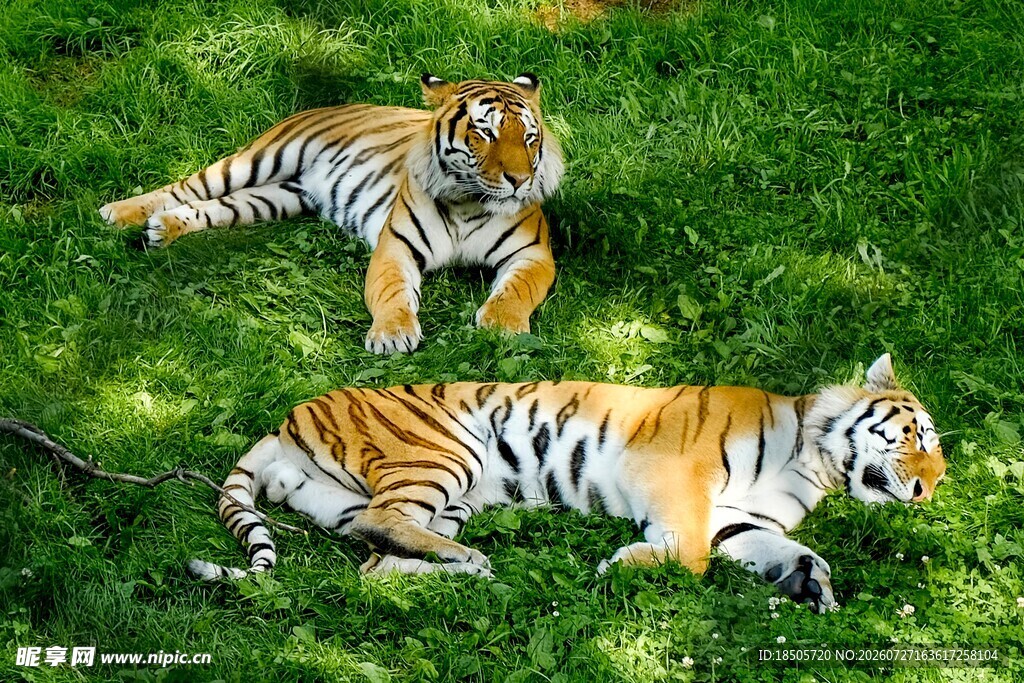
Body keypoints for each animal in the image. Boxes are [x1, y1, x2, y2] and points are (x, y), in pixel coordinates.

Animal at [98, 74, 564, 355]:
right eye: (484, 133)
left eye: (529, 138)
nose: (520, 180)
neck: (470, 200)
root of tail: (330, 104)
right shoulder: (396, 248)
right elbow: (393, 293)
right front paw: (392, 334)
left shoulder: (532, 254)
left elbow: (516, 291)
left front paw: (502, 328)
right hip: (257, 160)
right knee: (186, 186)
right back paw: (119, 213)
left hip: (273, 198)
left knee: (211, 207)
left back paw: (162, 229)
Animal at [188, 354, 945, 612]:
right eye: (916, 435)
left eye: (937, 457)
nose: (928, 490)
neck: (814, 461)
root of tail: (283, 422)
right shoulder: (673, 471)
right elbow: (690, 552)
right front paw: (623, 562)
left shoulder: (743, 517)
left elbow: (787, 551)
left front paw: (813, 585)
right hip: (447, 453)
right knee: (383, 525)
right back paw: (474, 561)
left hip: (434, 498)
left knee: (374, 564)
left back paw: (472, 569)